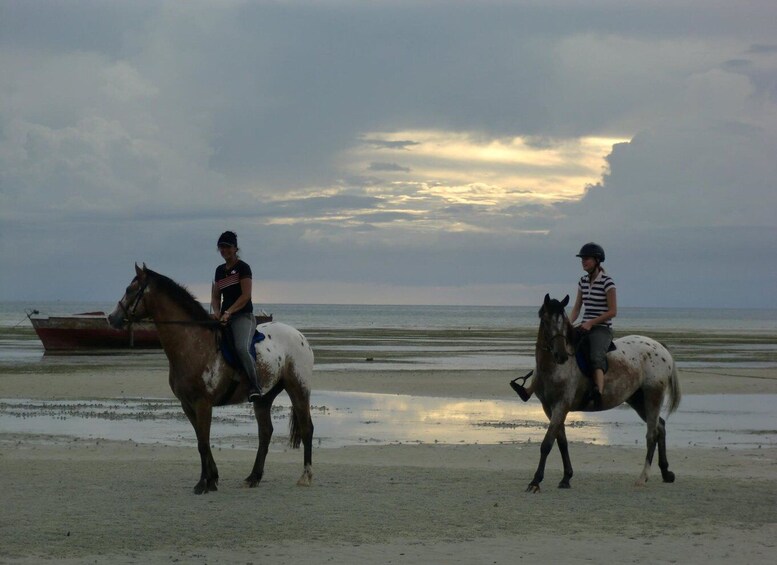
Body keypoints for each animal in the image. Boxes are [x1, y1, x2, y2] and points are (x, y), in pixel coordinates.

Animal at [107, 264, 314, 494]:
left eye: (130, 289)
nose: (111, 318)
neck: (192, 343)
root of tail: (300, 336)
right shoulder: (187, 405)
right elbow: (201, 441)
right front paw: (212, 479)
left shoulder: (203, 403)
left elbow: (203, 443)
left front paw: (203, 483)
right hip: (263, 398)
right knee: (265, 433)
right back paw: (253, 477)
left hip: (298, 389)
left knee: (307, 429)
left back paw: (305, 476)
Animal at [524, 294, 684, 492]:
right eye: (545, 321)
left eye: (563, 322)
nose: (561, 355)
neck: (553, 368)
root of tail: (659, 347)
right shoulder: (549, 407)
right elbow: (561, 442)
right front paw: (566, 477)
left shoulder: (561, 405)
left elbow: (547, 443)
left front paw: (535, 481)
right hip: (638, 399)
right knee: (660, 426)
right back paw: (665, 472)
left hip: (653, 395)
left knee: (652, 434)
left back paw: (643, 477)